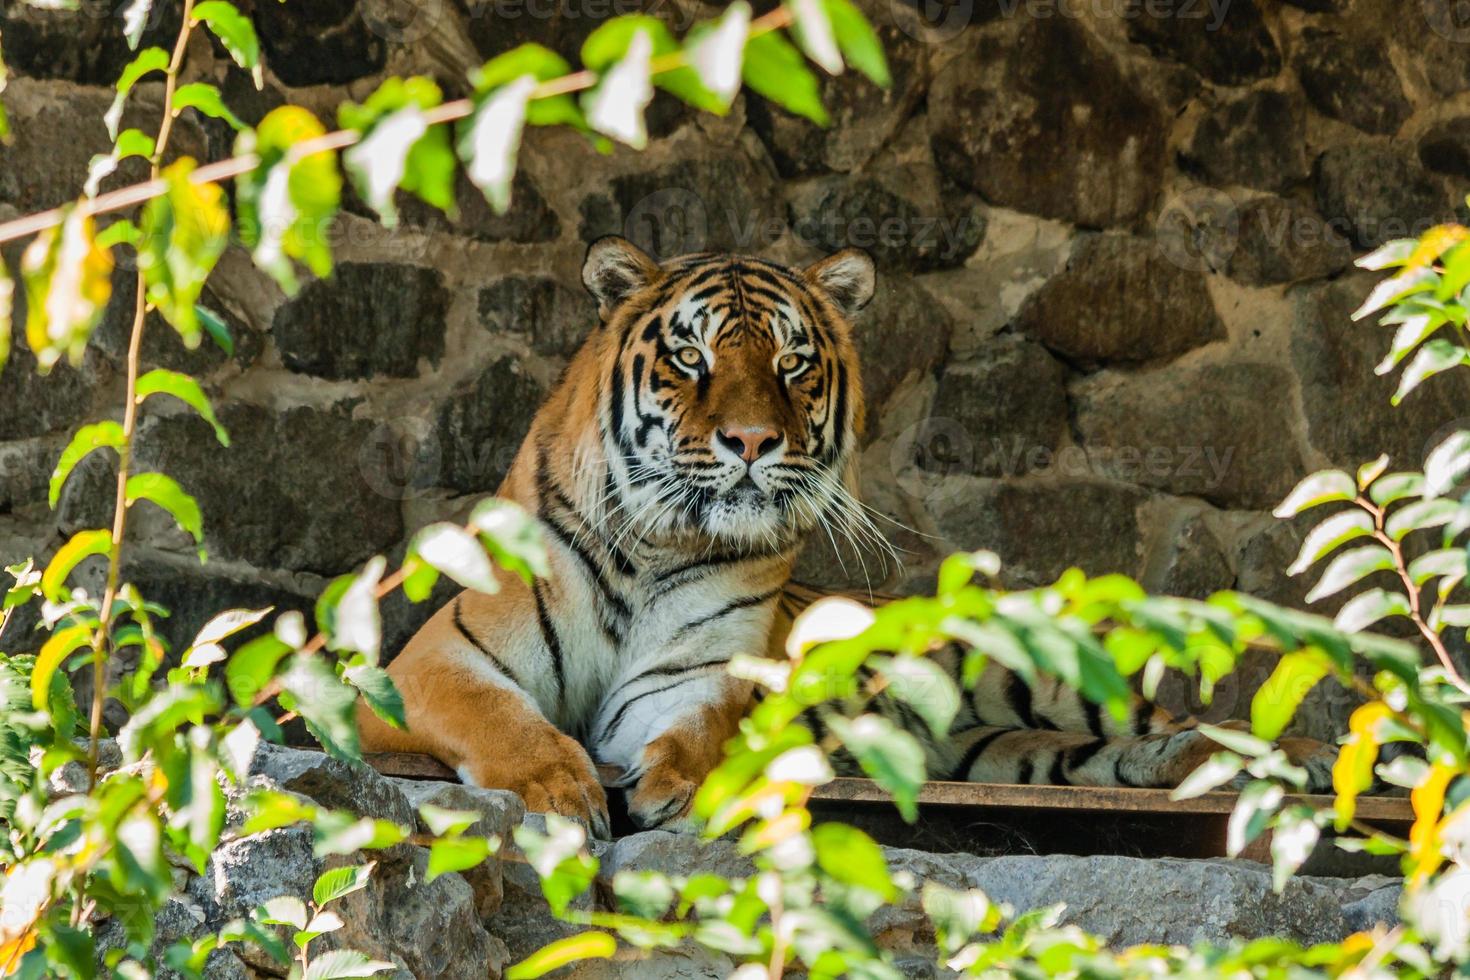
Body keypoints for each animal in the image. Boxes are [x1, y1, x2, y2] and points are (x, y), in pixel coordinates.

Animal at [355, 235, 1334, 834]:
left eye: (793, 363)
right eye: (689, 357)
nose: (753, 441)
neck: (656, 548)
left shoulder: (701, 677)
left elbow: (699, 731)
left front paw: (674, 783)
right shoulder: (434, 663)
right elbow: (501, 716)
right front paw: (558, 786)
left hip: (1046, 673)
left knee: (1196, 719)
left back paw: (1309, 757)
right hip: (1007, 752)